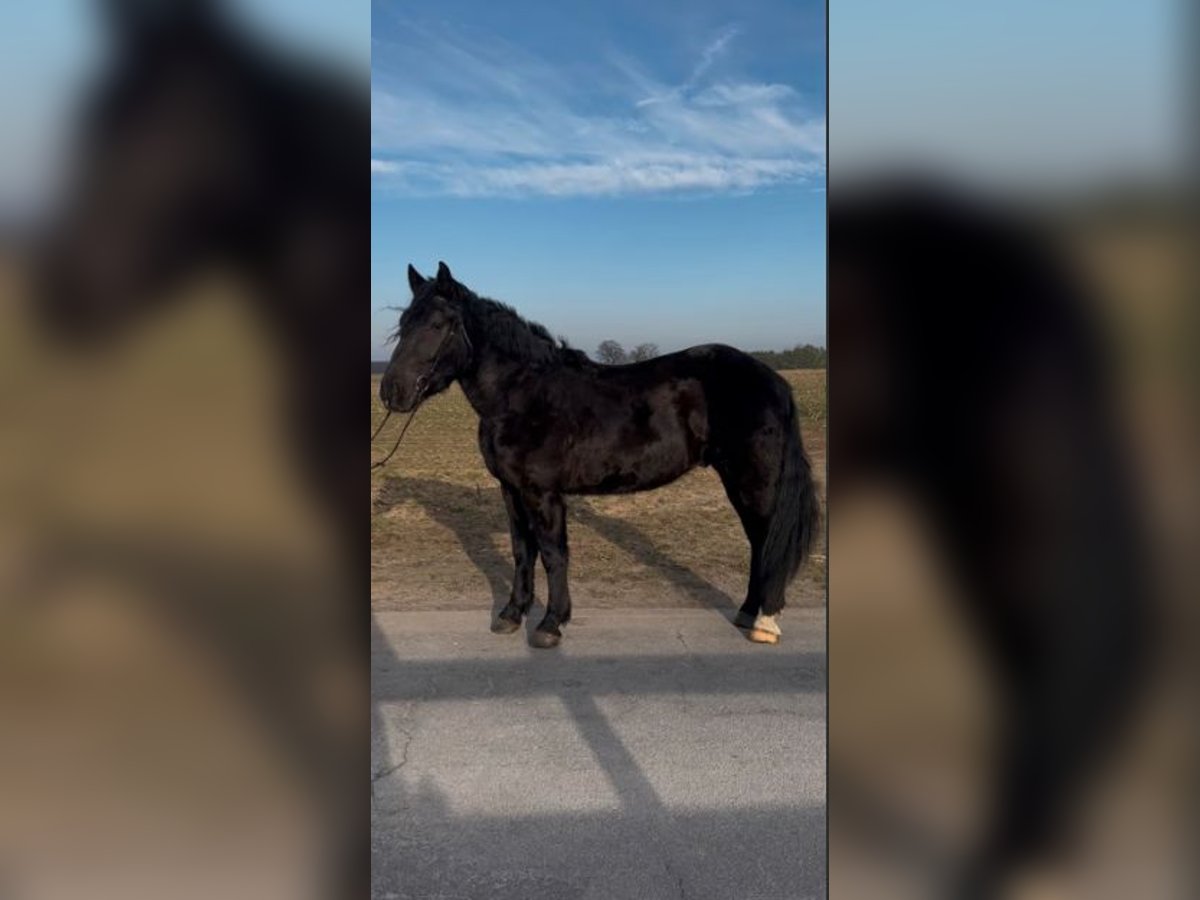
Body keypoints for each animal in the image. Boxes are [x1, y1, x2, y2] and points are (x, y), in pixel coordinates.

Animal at [384, 260, 825, 648]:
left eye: (438, 325)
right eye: (403, 325)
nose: (391, 391)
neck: (521, 393)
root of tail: (774, 381)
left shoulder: (542, 493)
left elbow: (553, 554)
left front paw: (550, 625)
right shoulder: (511, 490)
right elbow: (522, 551)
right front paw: (511, 615)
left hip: (753, 481)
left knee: (766, 540)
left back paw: (765, 623)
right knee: (758, 542)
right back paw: (748, 613)